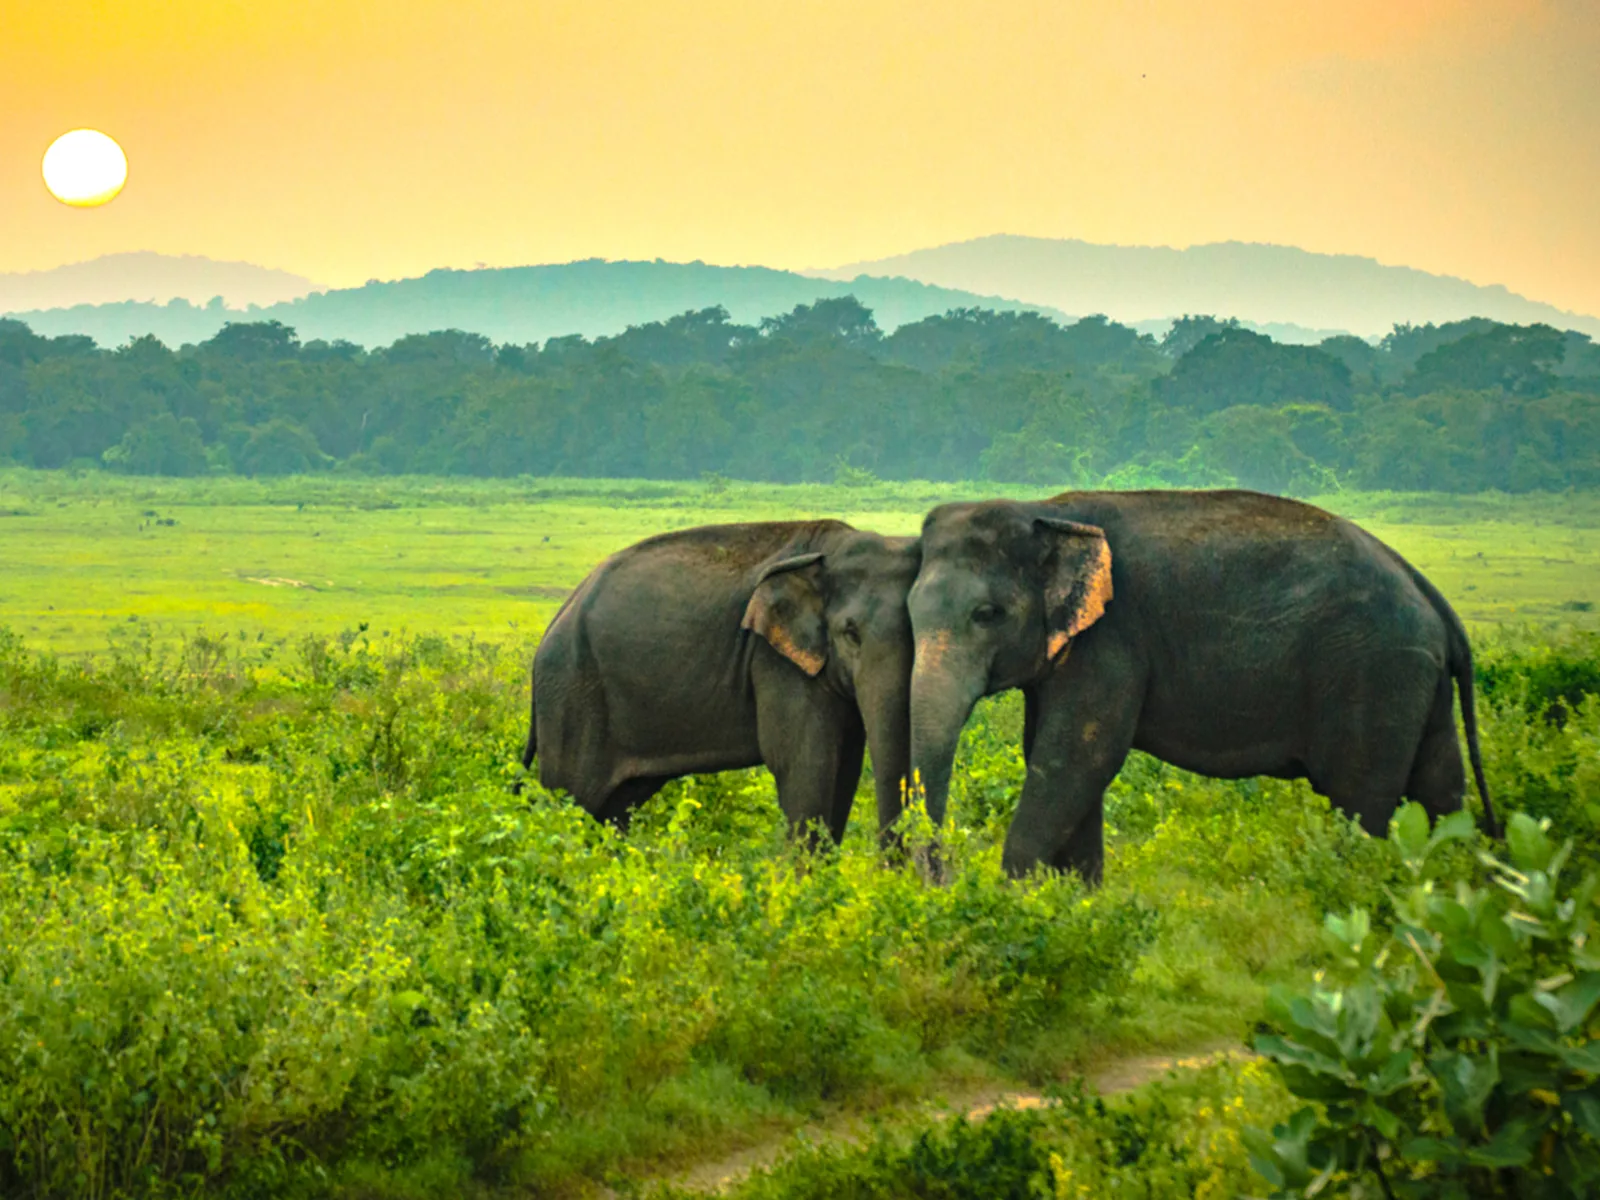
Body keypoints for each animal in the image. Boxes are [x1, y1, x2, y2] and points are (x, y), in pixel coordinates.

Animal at [520, 520, 919, 842]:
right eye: (850, 634)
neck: (837, 546)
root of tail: (557, 619)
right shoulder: (774, 662)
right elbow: (804, 764)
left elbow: (845, 767)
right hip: (572, 695)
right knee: (570, 798)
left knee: (613, 809)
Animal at [906, 489, 1499, 883]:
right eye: (908, 612)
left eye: (987, 614)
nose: (941, 878)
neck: (1045, 510)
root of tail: (1428, 591)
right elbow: (1056, 758)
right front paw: (1075, 901)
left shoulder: (1112, 640)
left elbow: (1075, 759)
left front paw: (1015, 896)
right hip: (1415, 679)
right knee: (1440, 787)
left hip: (1374, 673)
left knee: (1359, 799)